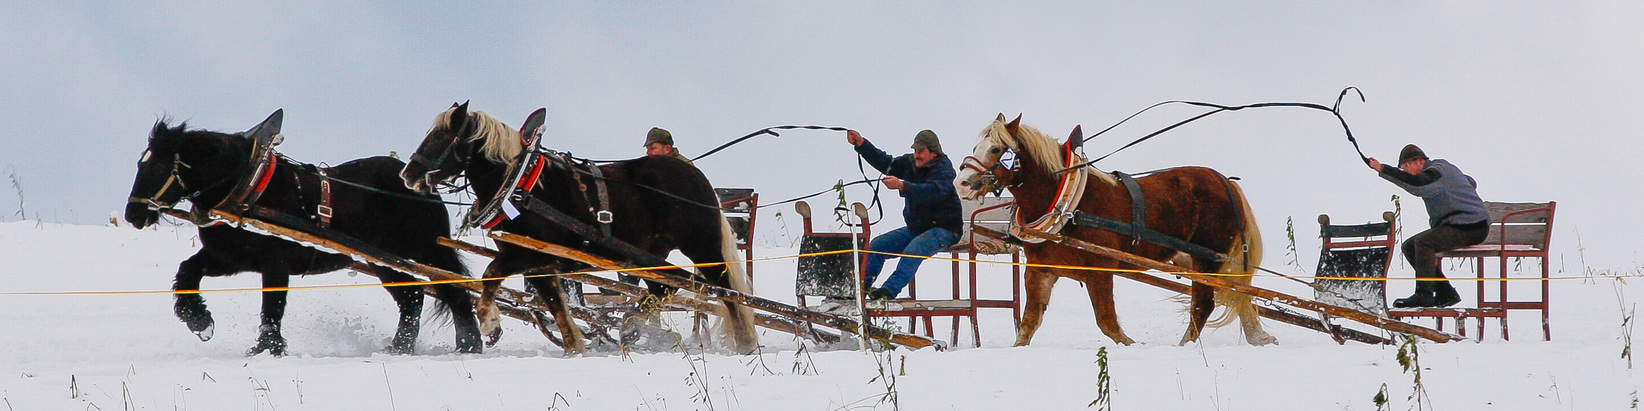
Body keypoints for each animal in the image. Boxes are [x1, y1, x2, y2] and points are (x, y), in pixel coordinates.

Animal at [123, 114, 480, 355]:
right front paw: (199, 320)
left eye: (155, 167)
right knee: (412, 299)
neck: (245, 185)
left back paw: (469, 344)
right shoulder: (229, 258)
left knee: (454, 291)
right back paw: (400, 347)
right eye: (140, 165)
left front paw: (267, 348)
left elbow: (272, 306)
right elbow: (188, 271)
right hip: (384, 261)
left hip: (426, 251)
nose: (132, 214)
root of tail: (422, 185)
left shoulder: (275, 263)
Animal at [401, 101, 759, 353]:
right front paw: (575, 346)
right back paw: (632, 325)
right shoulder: (539, 262)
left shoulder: (529, 254)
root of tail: (696, 177)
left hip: (701, 246)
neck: (521, 183)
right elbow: (556, 305)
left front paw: (490, 324)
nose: (408, 174)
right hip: (647, 252)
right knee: (664, 287)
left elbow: (491, 274)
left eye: (442, 136)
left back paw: (745, 342)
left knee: (726, 290)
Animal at [953, 114, 1269, 345]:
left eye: (996, 149)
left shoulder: (1099, 270)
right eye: (976, 148)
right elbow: (1029, 324)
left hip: (1207, 258)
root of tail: (1226, 183)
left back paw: (1187, 347)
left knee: (1204, 303)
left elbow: (1107, 322)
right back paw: (1258, 337)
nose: (962, 183)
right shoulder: (1040, 270)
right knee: (1237, 294)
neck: (1067, 205)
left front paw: (1132, 346)